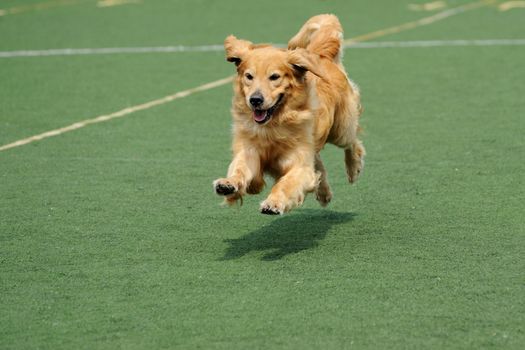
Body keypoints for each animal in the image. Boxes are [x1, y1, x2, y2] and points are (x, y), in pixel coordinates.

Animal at [213, 13, 364, 215]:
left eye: (274, 77)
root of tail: (321, 55)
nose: (255, 100)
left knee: (353, 141)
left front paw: (274, 203)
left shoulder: (298, 161)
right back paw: (324, 192)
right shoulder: (249, 149)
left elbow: (286, 184)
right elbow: (240, 168)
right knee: (319, 164)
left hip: (341, 130)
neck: (273, 124)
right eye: (249, 76)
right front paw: (228, 184)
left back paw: (353, 168)